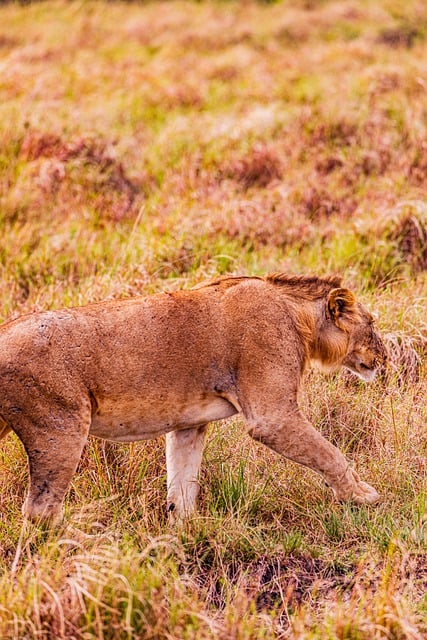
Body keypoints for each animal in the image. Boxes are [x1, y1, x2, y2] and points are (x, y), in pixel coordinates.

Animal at [0, 272, 388, 524]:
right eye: (371, 324)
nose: (385, 358)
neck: (297, 316)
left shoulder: (188, 424)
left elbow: (182, 489)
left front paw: (185, 537)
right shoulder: (272, 416)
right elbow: (331, 454)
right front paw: (362, 496)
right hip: (60, 429)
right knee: (40, 511)